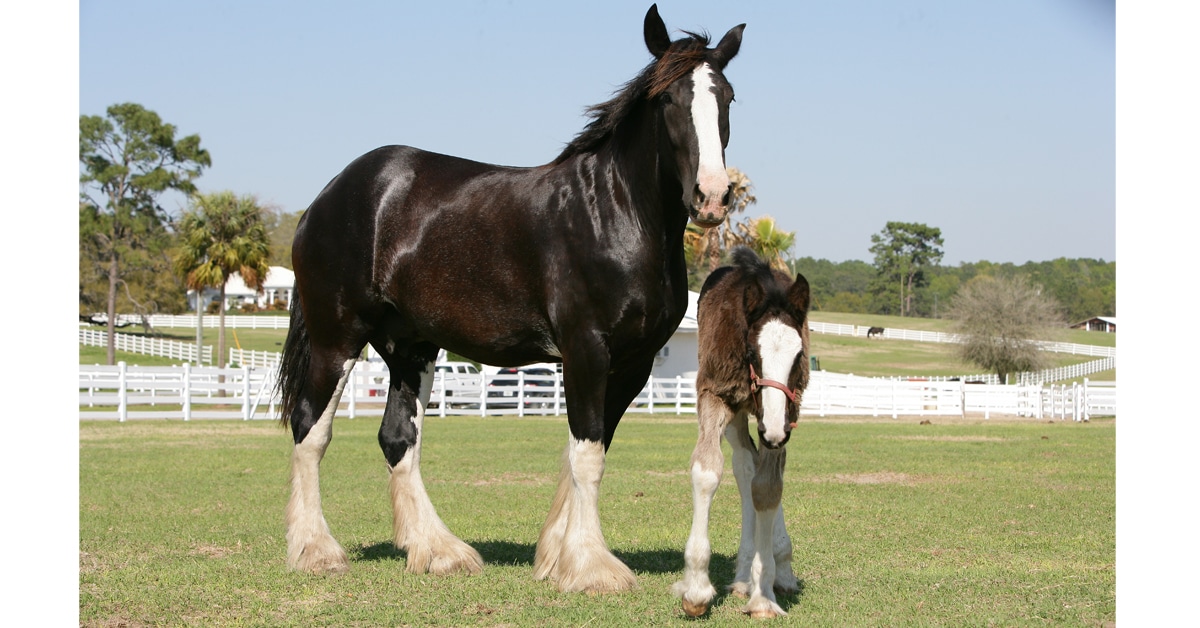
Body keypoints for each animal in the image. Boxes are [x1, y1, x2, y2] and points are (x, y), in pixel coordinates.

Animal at [276, 5, 746, 595]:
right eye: (667, 100)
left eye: (727, 97)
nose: (712, 196)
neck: (614, 214)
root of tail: (330, 195)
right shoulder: (585, 350)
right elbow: (587, 456)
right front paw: (591, 567)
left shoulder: (633, 363)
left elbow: (586, 450)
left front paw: (557, 557)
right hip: (336, 336)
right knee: (310, 429)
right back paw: (316, 550)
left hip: (411, 347)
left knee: (398, 438)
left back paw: (439, 551)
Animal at [673, 247, 811, 618]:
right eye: (752, 353)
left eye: (799, 355)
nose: (774, 431)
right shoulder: (715, 396)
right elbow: (707, 473)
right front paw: (696, 590)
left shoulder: (786, 416)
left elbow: (768, 488)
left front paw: (763, 594)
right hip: (739, 416)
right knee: (744, 464)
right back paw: (743, 572)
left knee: (756, 470)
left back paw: (777, 566)